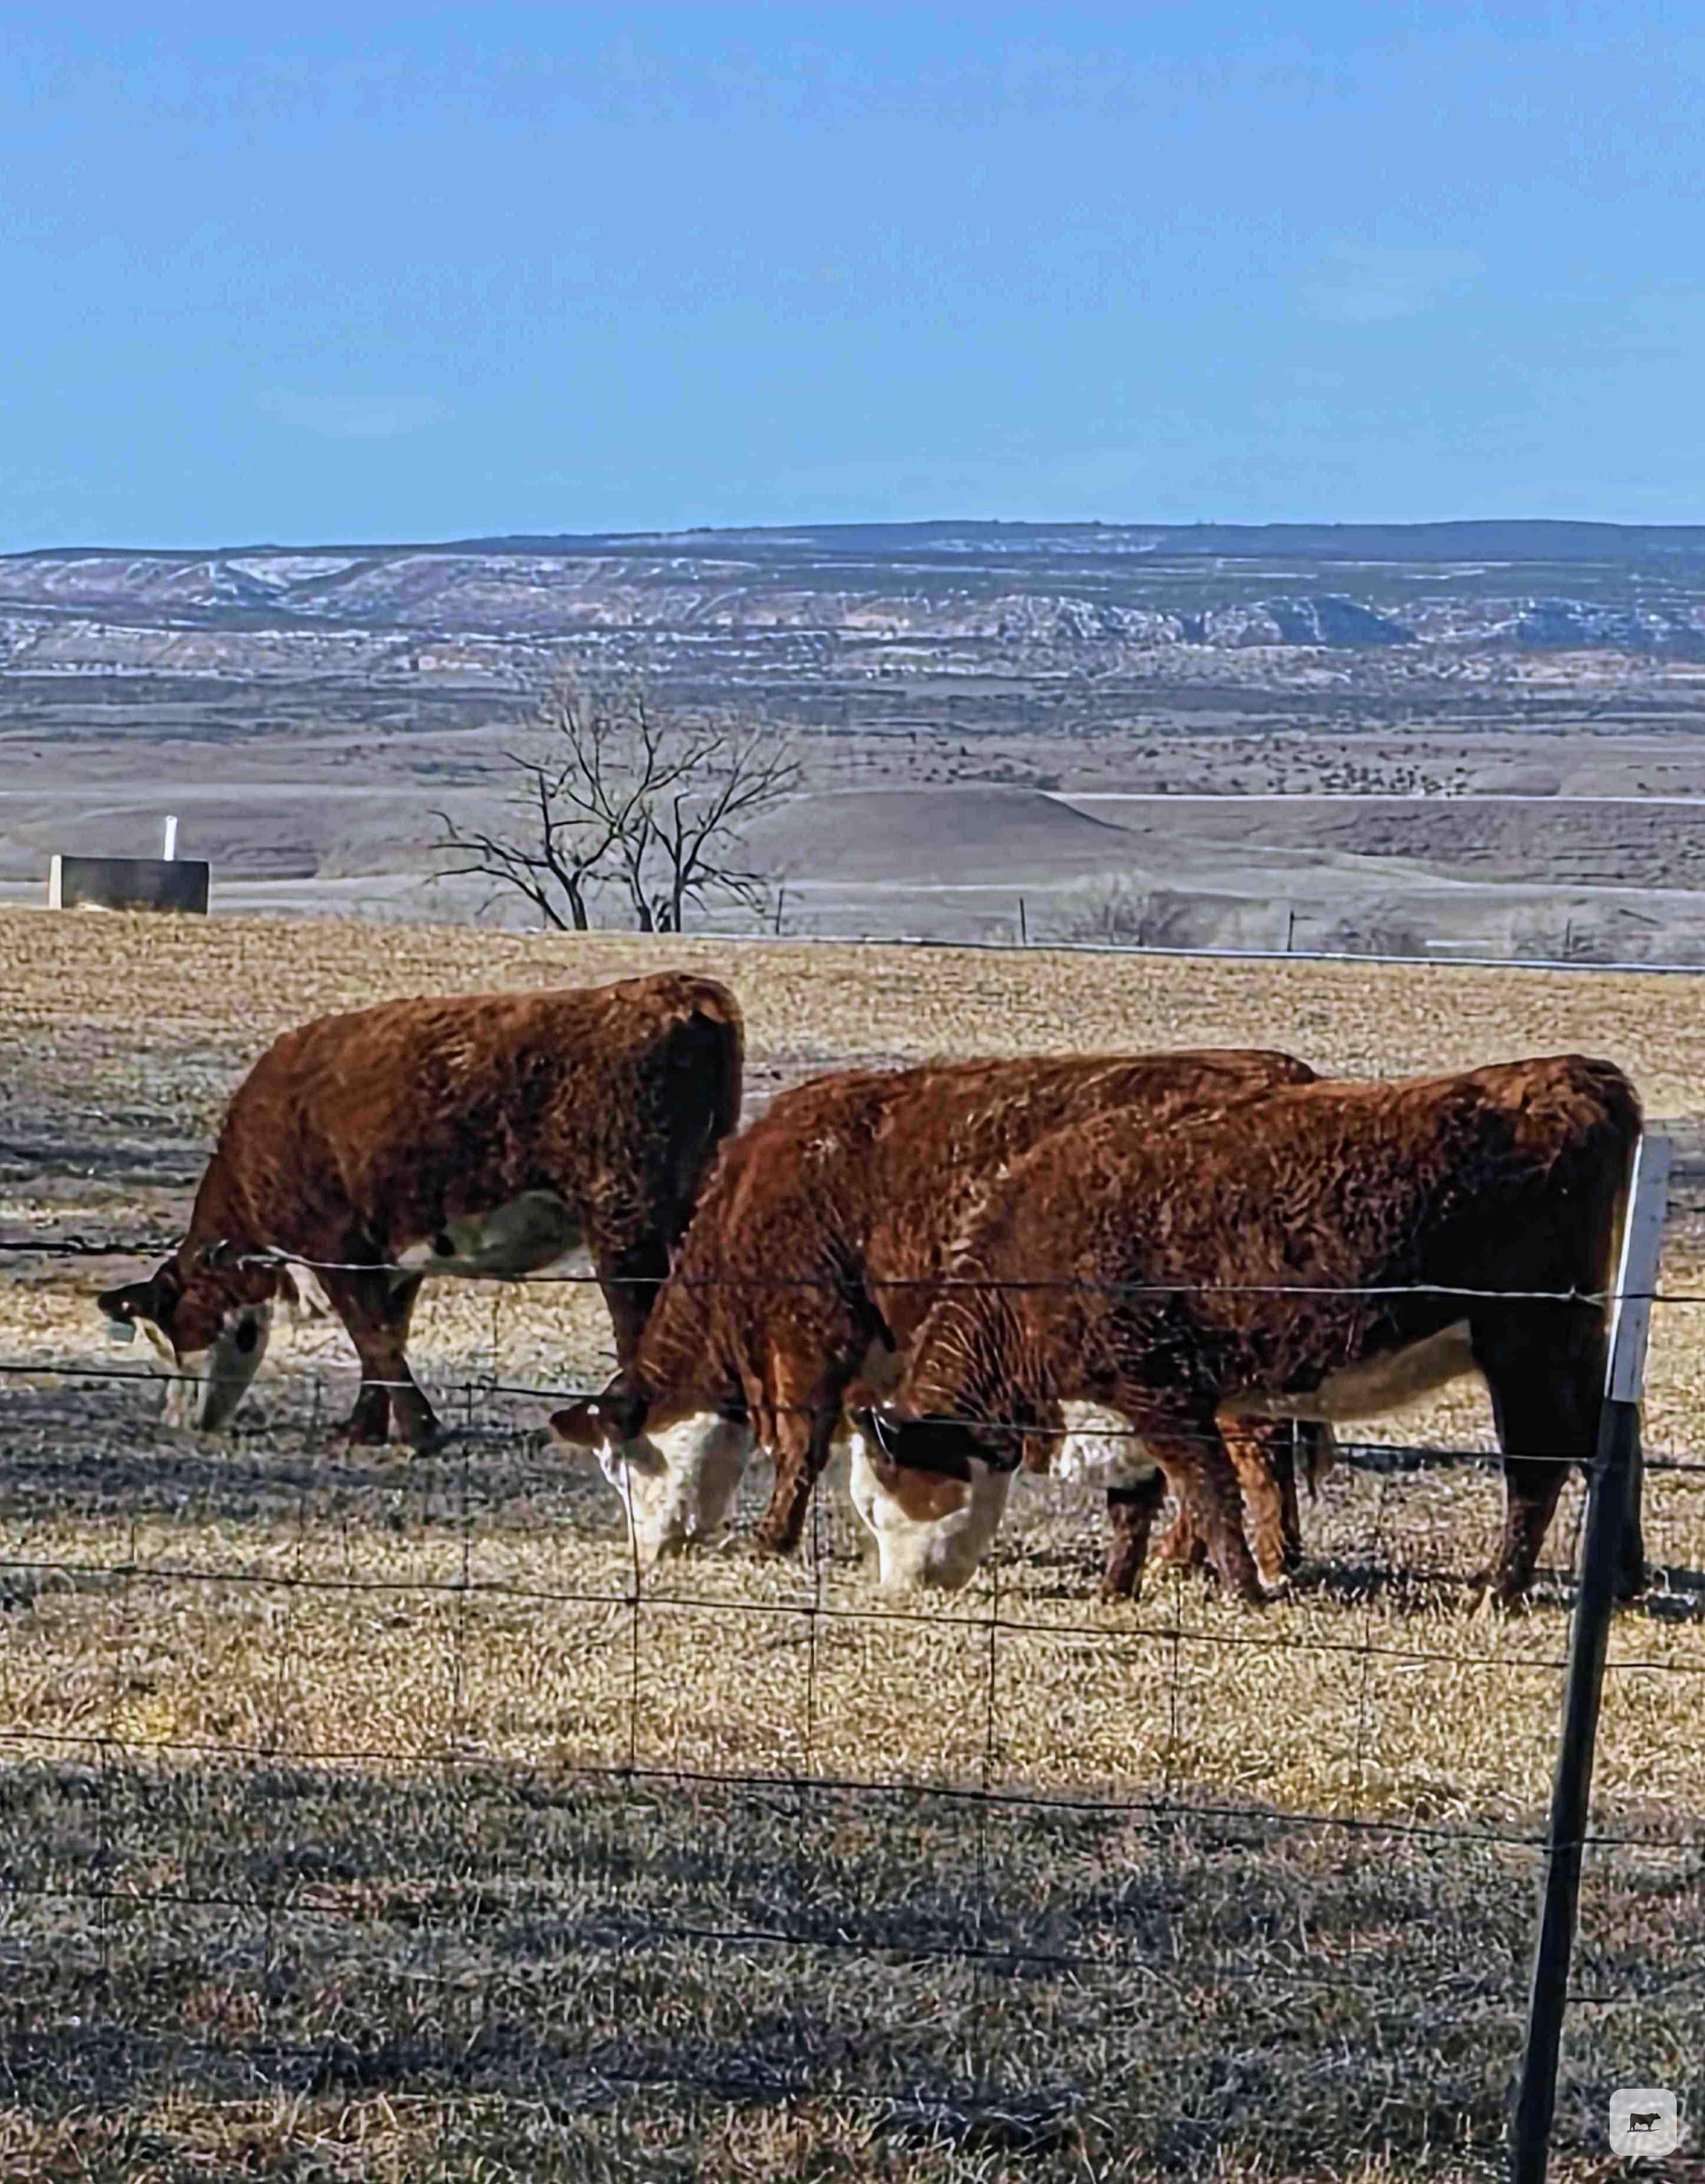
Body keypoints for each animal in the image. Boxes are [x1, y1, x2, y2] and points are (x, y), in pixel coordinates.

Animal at [96, 972, 743, 1447]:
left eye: (167, 1334)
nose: (176, 1421)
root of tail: (681, 990)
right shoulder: (392, 1255)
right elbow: (389, 1335)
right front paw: (364, 1427)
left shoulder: (337, 1247)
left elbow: (373, 1336)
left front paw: (420, 1431)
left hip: (624, 1217)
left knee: (636, 1315)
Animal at [548, 1048, 1324, 1586]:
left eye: (622, 1466)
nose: (648, 1550)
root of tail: (1281, 1072)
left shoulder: (809, 1336)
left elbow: (800, 1444)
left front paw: (772, 1537)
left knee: (1253, 1447)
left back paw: (1250, 1559)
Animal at [860, 1056, 1644, 1610]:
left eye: (884, 1501)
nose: (897, 1589)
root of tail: (1572, 1076)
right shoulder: (1126, 1406)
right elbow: (1133, 1505)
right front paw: (1114, 1589)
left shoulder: (1160, 1392)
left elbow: (1208, 1490)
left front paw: (1243, 1589)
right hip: (1579, 1345)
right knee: (1608, 1449)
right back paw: (1623, 1582)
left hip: (1526, 1346)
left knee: (1537, 1468)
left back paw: (1498, 1591)